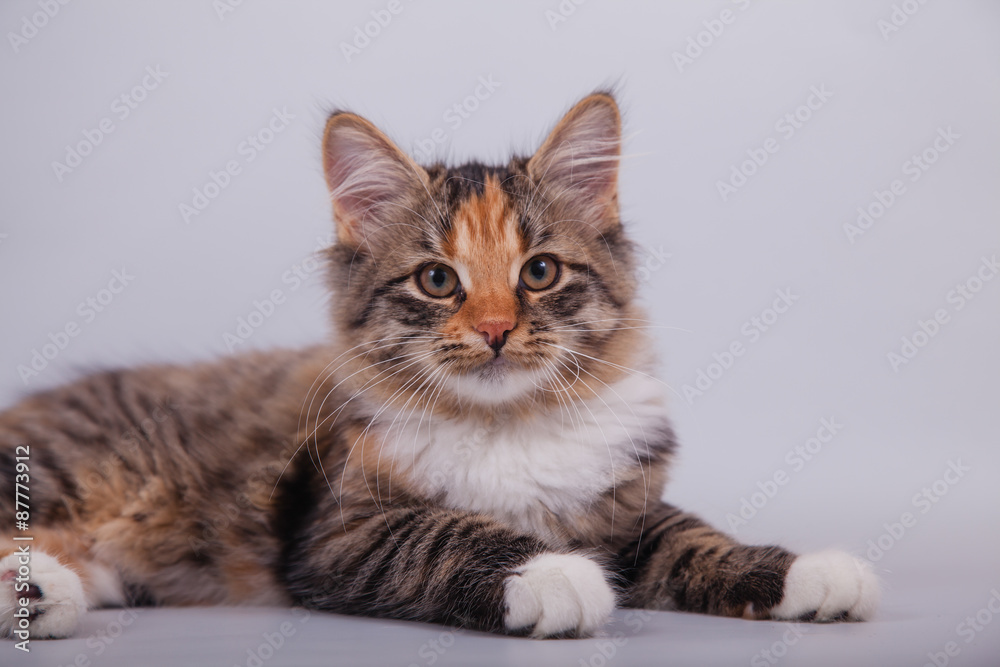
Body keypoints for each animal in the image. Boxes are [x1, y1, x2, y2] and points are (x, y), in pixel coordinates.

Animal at [0, 91, 876, 640]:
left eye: (539, 272)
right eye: (437, 280)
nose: (493, 329)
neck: (508, 423)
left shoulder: (626, 508)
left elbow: (696, 537)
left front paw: (812, 573)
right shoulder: (340, 528)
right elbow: (445, 532)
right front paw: (552, 576)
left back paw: (45, 593)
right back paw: (32, 590)